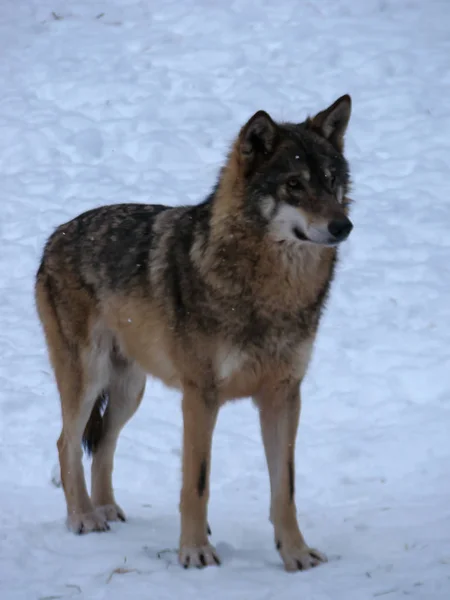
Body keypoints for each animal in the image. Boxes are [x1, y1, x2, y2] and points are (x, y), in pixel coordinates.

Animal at [34, 95, 356, 572]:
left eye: (331, 182)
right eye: (294, 185)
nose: (343, 226)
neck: (271, 291)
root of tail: (54, 236)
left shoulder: (284, 394)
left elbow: (285, 488)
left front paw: (295, 554)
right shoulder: (200, 395)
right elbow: (197, 482)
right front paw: (195, 551)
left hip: (129, 392)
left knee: (104, 445)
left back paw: (106, 509)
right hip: (88, 380)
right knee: (66, 442)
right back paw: (83, 518)